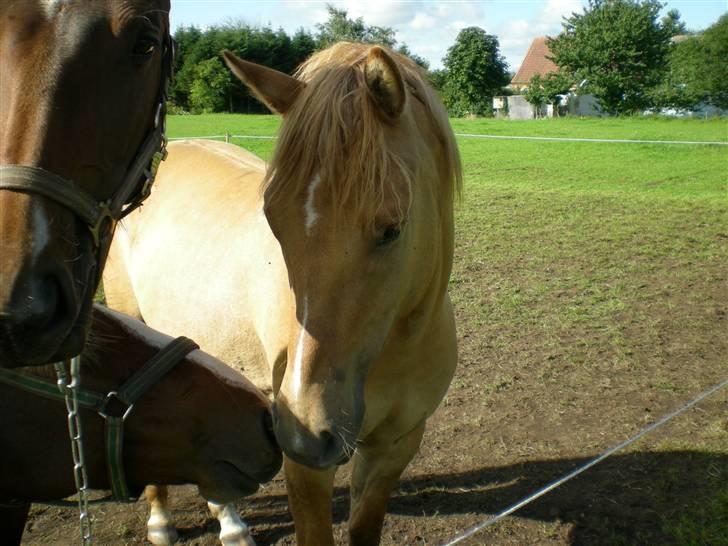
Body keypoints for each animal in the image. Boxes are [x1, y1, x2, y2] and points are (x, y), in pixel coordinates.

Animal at [105, 43, 460, 544]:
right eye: (273, 220)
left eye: (391, 229)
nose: (304, 431)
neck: (396, 350)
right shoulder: (307, 470)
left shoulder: (395, 447)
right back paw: (161, 522)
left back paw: (231, 524)